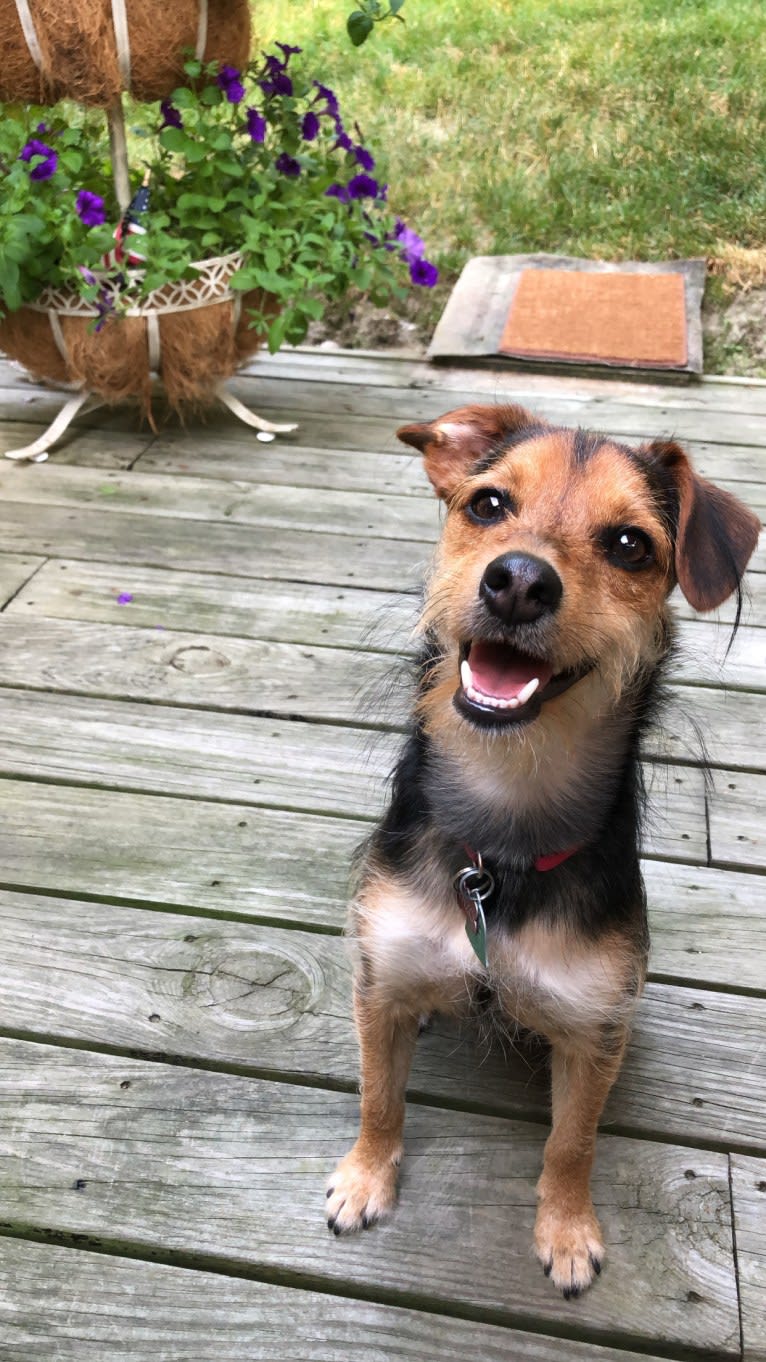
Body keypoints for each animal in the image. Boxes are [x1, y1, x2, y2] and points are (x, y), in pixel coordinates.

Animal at [323, 403, 757, 1296]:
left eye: (630, 545)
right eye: (488, 505)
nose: (519, 580)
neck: (499, 844)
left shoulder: (595, 1031)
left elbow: (572, 1141)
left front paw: (566, 1231)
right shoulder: (379, 976)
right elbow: (379, 1096)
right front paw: (365, 1177)